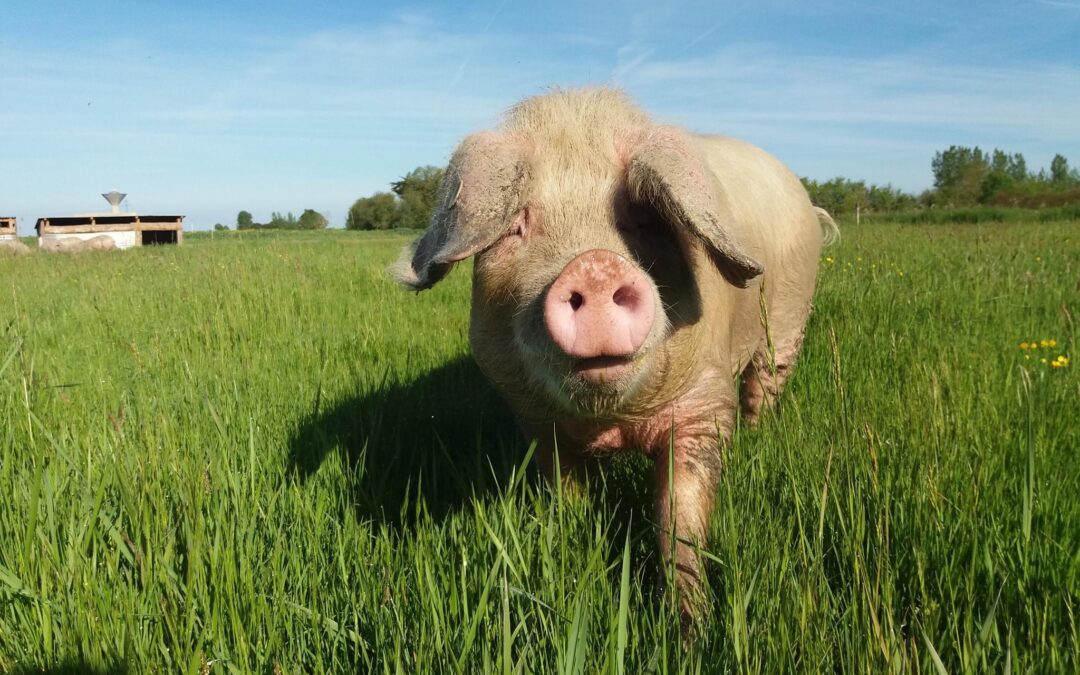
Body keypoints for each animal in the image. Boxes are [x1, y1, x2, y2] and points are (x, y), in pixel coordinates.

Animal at [393, 89, 838, 626]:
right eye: (518, 225)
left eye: (641, 218)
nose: (594, 264)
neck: (613, 422)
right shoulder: (538, 423)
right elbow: (567, 497)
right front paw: (569, 555)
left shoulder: (704, 406)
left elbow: (681, 517)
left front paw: (689, 626)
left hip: (790, 318)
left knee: (764, 384)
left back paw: (756, 438)